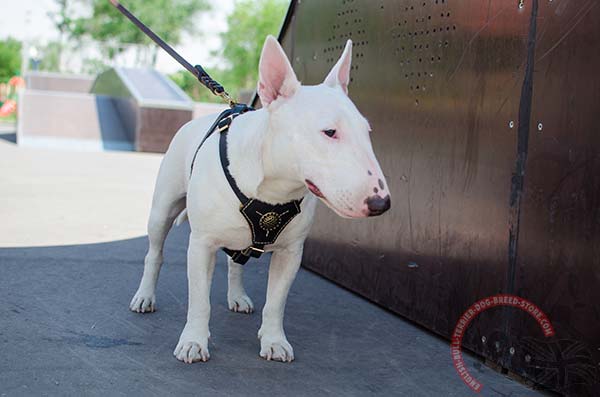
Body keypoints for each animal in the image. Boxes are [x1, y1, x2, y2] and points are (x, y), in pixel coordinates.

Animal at [129, 36, 392, 362]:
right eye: (330, 132)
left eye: (367, 132)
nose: (381, 204)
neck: (274, 189)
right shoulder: (201, 245)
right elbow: (200, 301)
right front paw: (193, 342)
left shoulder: (291, 253)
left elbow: (276, 303)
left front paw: (274, 341)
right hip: (162, 210)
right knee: (154, 253)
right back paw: (144, 296)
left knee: (235, 263)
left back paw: (237, 296)